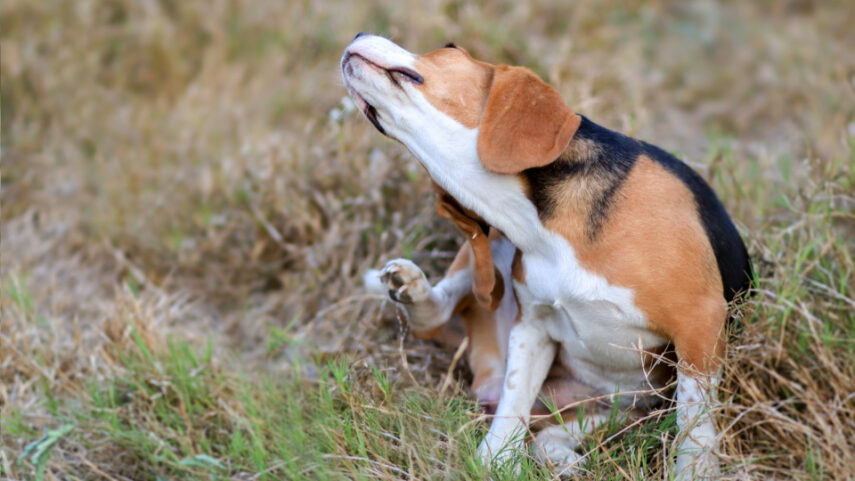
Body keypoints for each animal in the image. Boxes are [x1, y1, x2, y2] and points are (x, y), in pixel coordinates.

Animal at [344, 34, 752, 480]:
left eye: (449, 47)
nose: (358, 36)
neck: (538, 226)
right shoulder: (533, 325)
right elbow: (512, 403)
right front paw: (492, 460)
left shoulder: (699, 324)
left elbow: (695, 424)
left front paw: (694, 469)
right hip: (492, 260)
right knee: (441, 318)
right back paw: (412, 290)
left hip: (627, 410)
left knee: (560, 429)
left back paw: (557, 454)